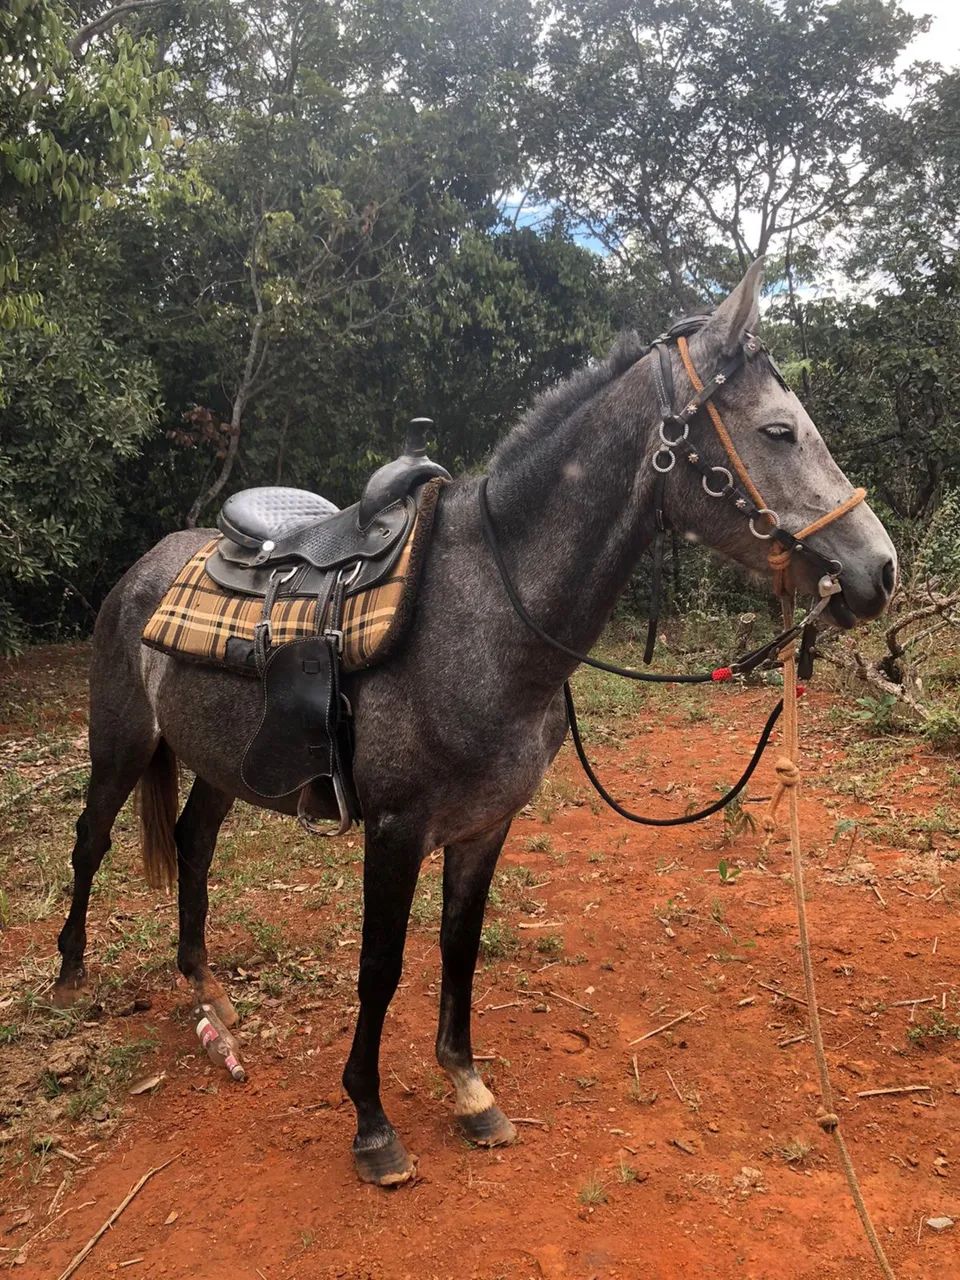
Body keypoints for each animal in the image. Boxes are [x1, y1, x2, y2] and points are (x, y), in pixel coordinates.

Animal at [51, 260, 897, 1186]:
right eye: (779, 431)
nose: (880, 570)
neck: (488, 607)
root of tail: (146, 566)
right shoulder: (395, 830)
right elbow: (381, 967)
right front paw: (373, 1123)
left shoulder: (486, 825)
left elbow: (460, 947)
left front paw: (467, 1088)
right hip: (122, 743)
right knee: (91, 839)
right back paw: (68, 976)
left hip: (221, 764)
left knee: (194, 843)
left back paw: (205, 989)